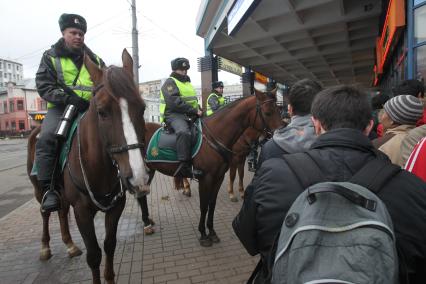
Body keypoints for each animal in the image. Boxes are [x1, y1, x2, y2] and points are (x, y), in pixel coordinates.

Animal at [27, 50, 149, 284]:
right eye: (102, 112)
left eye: (142, 108)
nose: (138, 178)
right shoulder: (82, 211)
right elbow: (94, 255)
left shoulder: (116, 207)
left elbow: (109, 246)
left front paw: (109, 278)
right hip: (39, 190)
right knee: (45, 212)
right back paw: (45, 248)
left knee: (61, 211)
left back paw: (70, 245)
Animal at [137, 89, 282, 246]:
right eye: (268, 112)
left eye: (278, 110)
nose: (281, 133)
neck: (214, 137)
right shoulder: (206, 178)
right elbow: (204, 205)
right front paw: (203, 234)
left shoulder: (219, 177)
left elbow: (212, 204)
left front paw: (212, 232)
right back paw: (147, 224)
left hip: (149, 170)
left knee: (141, 195)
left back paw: (147, 222)